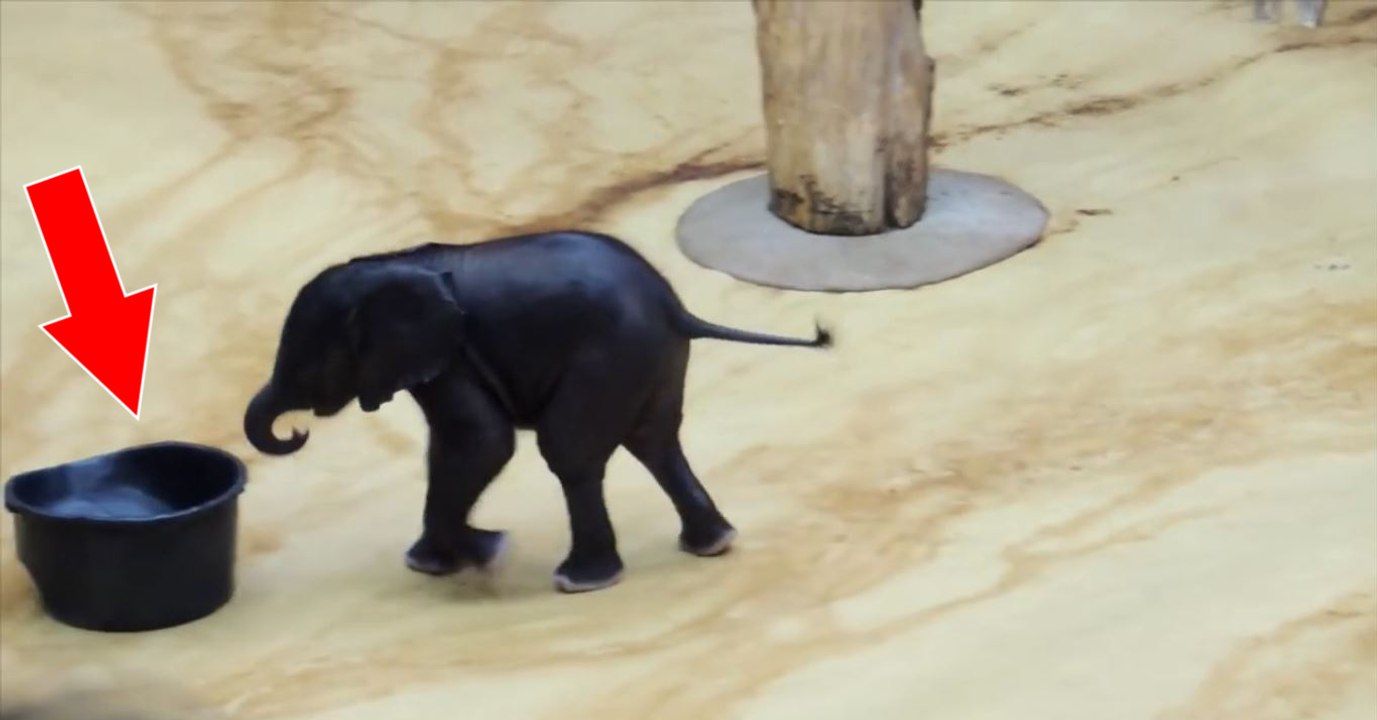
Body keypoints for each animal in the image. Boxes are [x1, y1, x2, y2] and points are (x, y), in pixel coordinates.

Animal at [243, 230, 831, 593]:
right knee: (654, 442)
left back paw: (581, 580)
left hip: (609, 354)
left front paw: (488, 551)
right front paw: (440, 561)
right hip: (650, 358)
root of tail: (676, 308)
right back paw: (711, 544)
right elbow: (454, 443)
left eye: (308, 369)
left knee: (570, 449)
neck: (388, 264)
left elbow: (481, 441)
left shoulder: (452, 355)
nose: (296, 430)